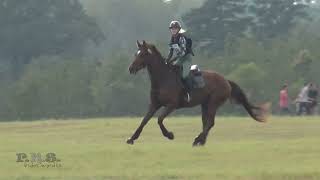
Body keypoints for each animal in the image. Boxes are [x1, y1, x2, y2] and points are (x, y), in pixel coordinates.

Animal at [127, 40, 268, 146]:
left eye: (143, 54)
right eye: (136, 53)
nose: (131, 68)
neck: (163, 78)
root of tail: (226, 81)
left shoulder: (171, 105)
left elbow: (159, 119)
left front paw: (169, 135)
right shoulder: (154, 105)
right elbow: (144, 121)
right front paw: (132, 138)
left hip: (213, 103)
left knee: (210, 122)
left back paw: (197, 139)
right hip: (205, 104)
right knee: (206, 122)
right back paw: (201, 140)